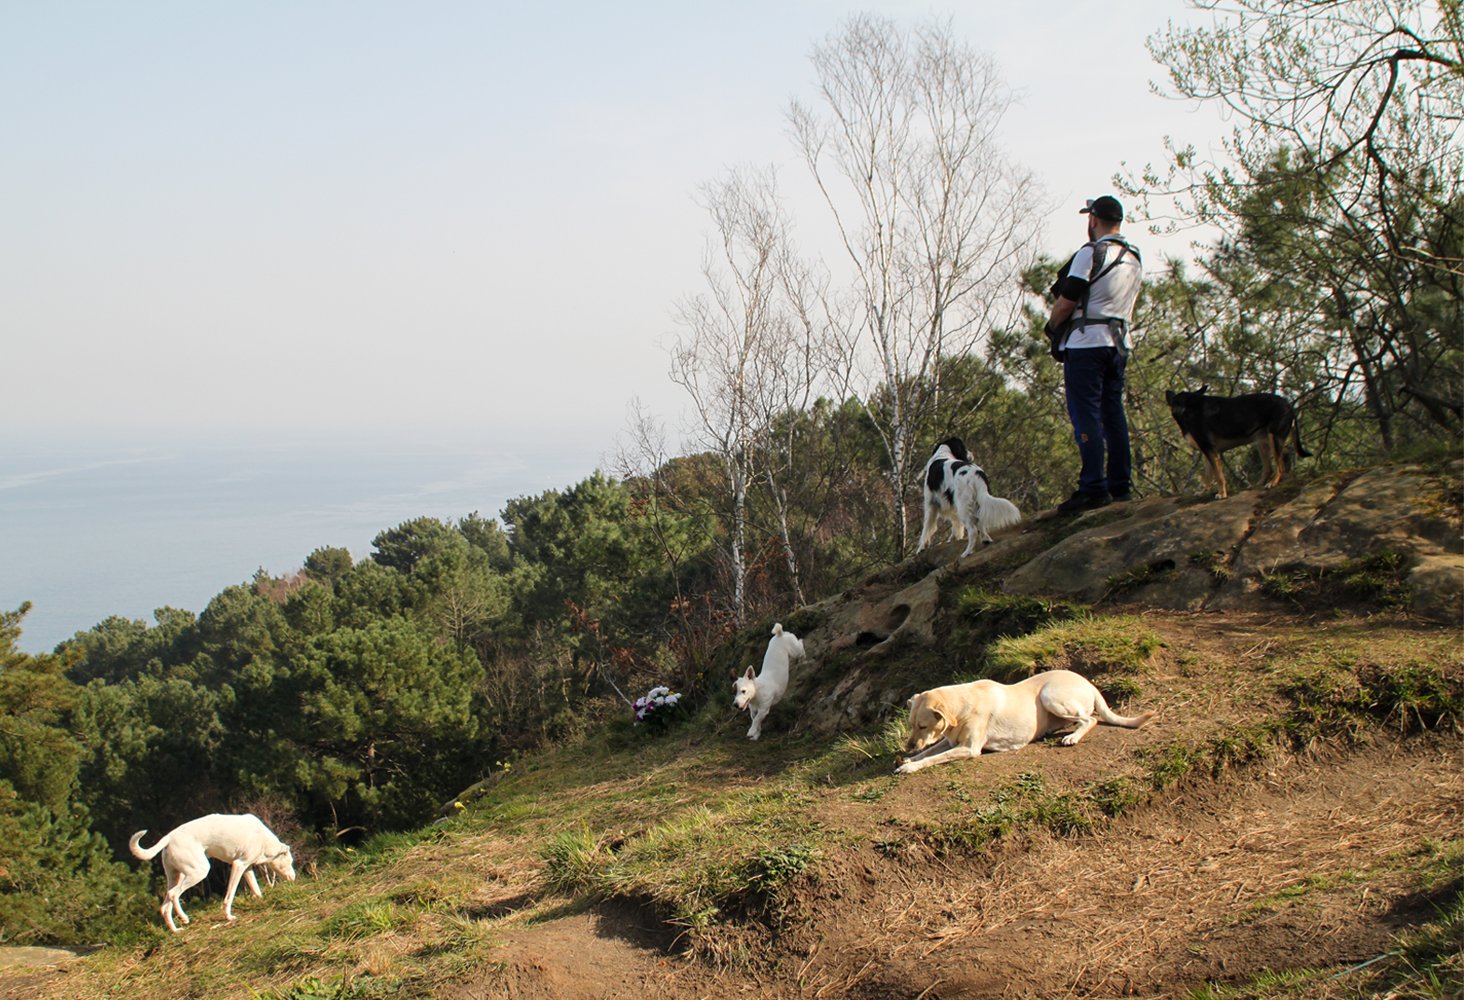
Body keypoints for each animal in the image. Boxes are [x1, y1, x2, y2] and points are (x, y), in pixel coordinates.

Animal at [130, 814, 295, 931]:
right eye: (291, 861)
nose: (294, 878)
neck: (263, 839)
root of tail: (169, 837)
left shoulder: (246, 868)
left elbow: (257, 890)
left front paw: (261, 901)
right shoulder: (238, 865)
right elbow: (229, 896)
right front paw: (228, 916)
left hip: (176, 876)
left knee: (165, 907)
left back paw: (175, 930)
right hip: (198, 872)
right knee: (173, 894)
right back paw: (184, 917)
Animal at [895, 667, 1147, 778]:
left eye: (923, 726)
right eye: (911, 724)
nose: (909, 745)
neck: (961, 705)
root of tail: (1088, 682)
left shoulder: (968, 748)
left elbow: (934, 758)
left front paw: (910, 766)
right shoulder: (950, 741)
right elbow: (928, 752)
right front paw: (909, 759)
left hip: (1051, 697)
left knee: (1091, 719)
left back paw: (1072, 737)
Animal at [1165, 392, 1317, 500]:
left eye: (1185, 403)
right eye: (1176, 403)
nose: (1177, 411)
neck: (1190, 411)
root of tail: (1288, 404)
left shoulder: (1210, 450)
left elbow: (1219, 476)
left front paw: (1222, 494)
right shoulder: (1207, 451)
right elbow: (1208, 476)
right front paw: (1203, 492)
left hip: (1274, 439)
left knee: (1281, 467)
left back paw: (1273, 483)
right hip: (1261, 442)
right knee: (1268, 468)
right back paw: (1257, 485)